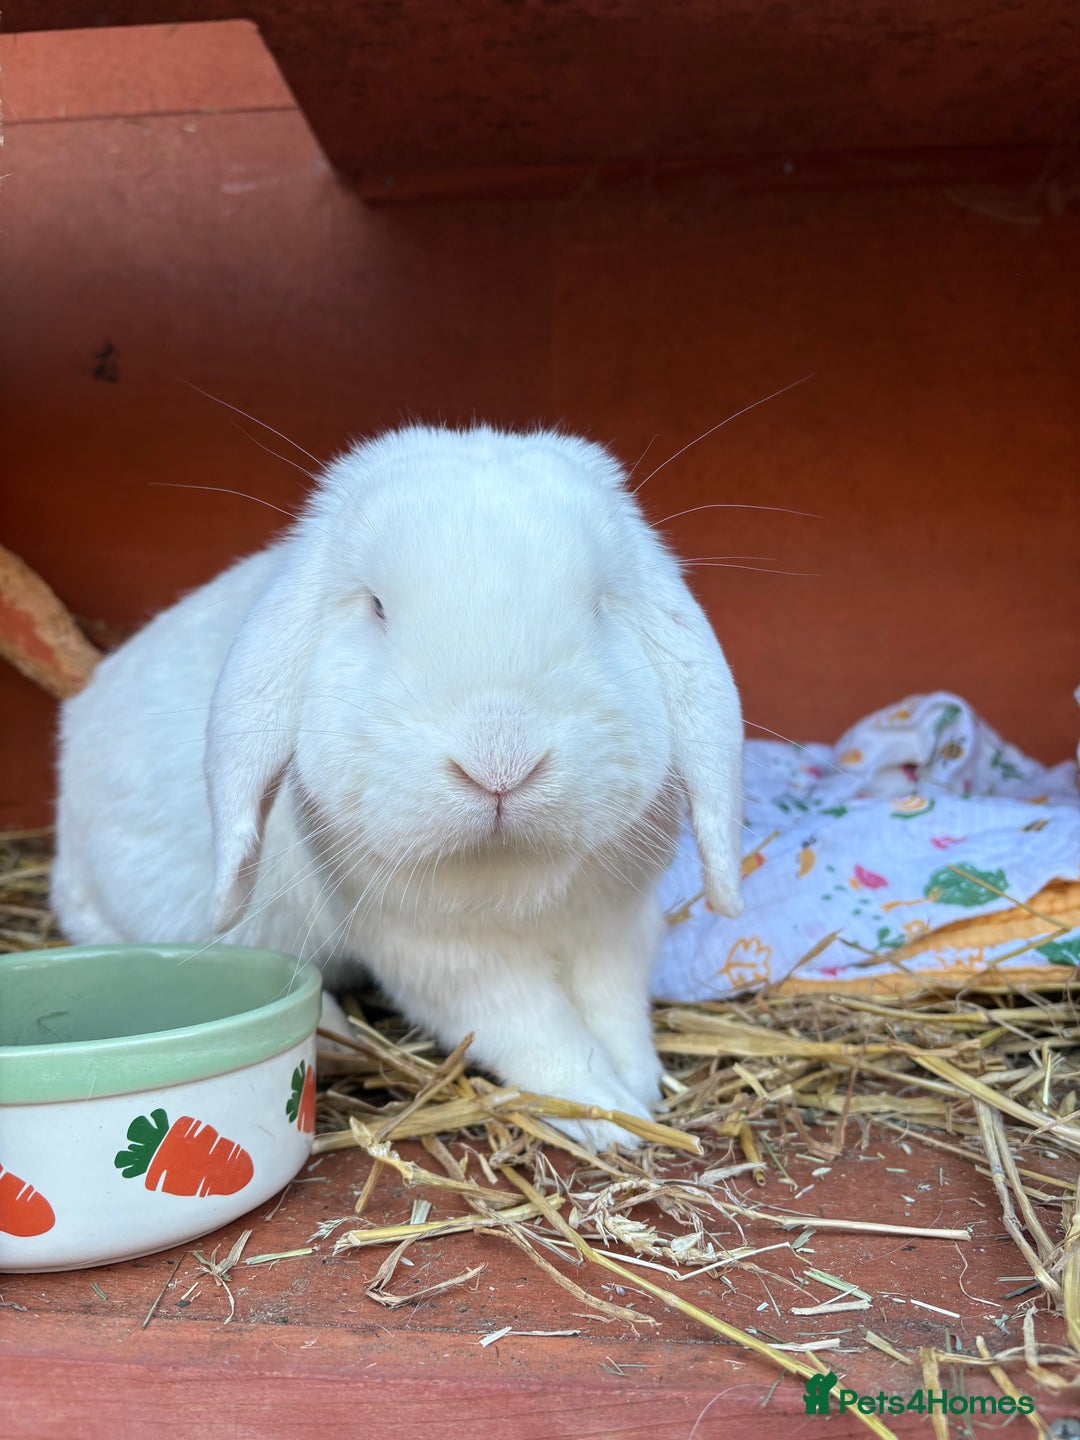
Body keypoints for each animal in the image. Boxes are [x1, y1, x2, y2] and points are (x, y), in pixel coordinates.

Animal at [51, 424, 744, 1151]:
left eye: (602, 604)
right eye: (376, 606)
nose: (500, 760)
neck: (514, 873)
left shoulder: (616, 928)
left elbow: (615, 1009)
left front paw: (640, 1090)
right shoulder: (448, 961)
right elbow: (537, 1032)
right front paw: (606, 1115)